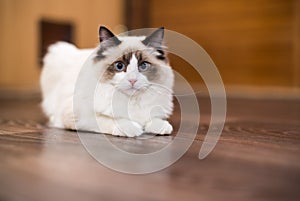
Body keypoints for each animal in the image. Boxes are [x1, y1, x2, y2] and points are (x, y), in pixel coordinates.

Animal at [41, 26, 175, 137]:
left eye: (143, 66)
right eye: (119, 66)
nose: (132, 80)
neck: (130, 101)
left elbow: (154, 120)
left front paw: (161, 127)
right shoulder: (77, 115)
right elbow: (111, 120)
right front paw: (134, 128)